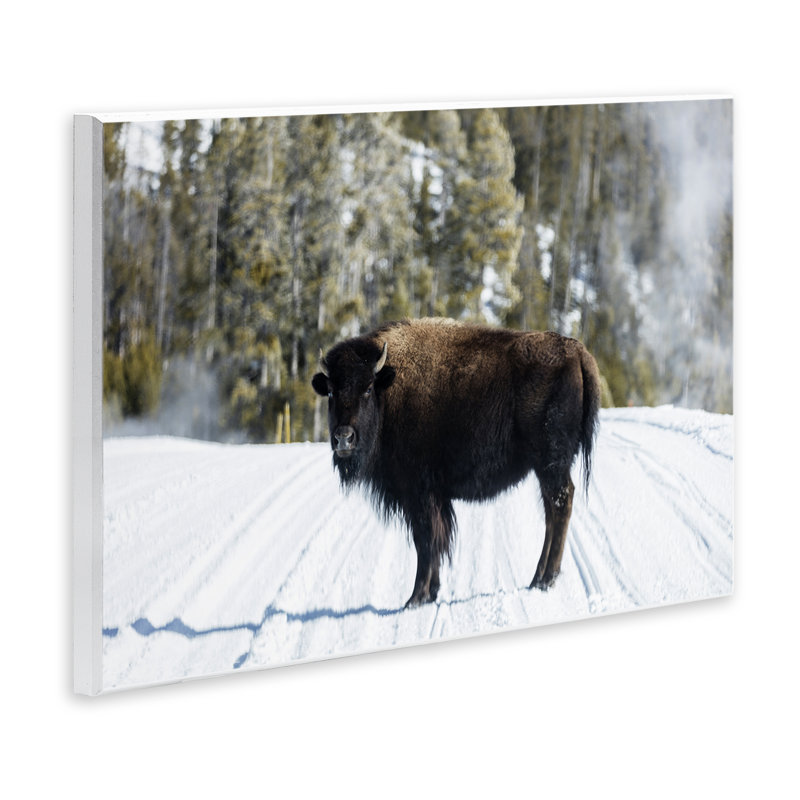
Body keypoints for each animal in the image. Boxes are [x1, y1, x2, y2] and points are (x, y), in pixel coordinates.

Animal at [311, 318, 601, 608]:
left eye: (368, 388)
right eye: (331, 392)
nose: (344, 438)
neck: (388, 390)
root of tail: (577, 352)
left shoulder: (418, 493)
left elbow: (426, 541)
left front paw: (415, 598)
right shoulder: (433, 497)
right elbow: (435, 540)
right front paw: (431, 593)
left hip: (551, 463)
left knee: (560, 505)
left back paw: (546, 579)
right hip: (546, 468)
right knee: (552, 512)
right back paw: (537, 578)